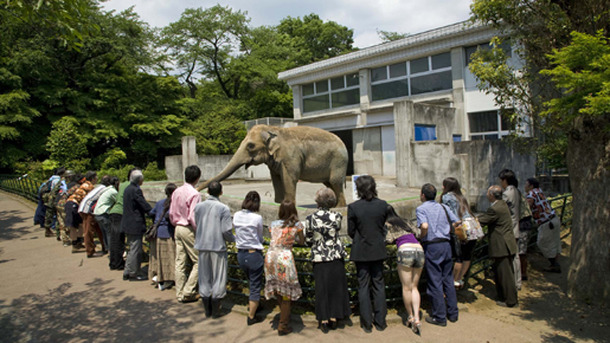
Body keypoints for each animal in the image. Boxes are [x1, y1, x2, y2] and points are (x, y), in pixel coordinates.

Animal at [196, 125, 346, 207]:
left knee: (335, 182)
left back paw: (338, 207)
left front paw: (288, 205)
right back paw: (335, 205)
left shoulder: (291, 157)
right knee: (329, 184)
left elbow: (289, 178)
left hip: (338, 162)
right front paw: (279, 203)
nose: (197, 190)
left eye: (250, 146)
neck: (273, 129)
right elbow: (276, 179)